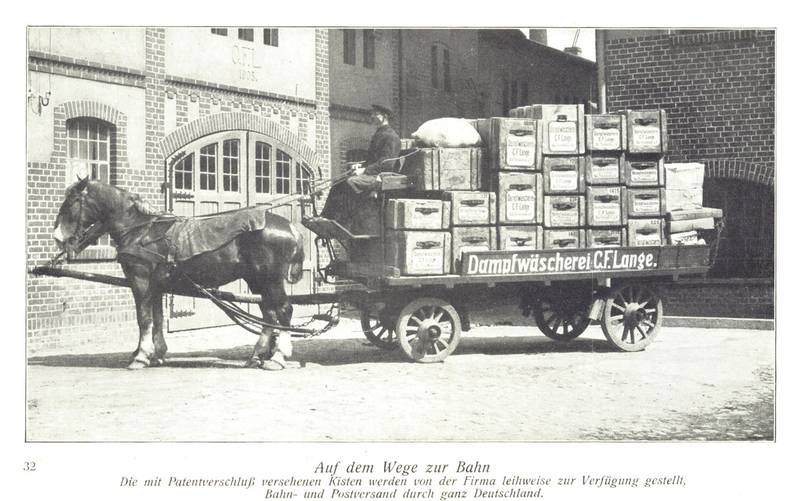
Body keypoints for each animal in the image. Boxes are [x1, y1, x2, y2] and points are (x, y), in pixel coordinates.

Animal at [51, 178, 304, 370]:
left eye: (73, 201)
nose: (57, 236)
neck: (140, 230)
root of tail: (291, 227)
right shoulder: (156, 286)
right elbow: (157, 318)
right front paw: (156, 353)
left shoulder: (140, 281)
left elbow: (144, 318)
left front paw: (141, 356)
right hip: (257, 280)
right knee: (269, 313)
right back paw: (257, 356)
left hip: (271, 280)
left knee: (284, 311)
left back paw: (278, 357)